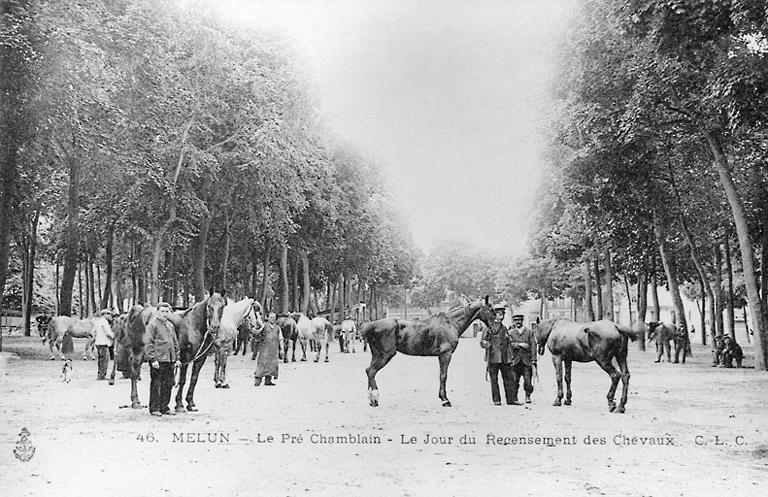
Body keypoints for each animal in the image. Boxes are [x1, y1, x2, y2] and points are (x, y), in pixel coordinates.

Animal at [364, 294, 496, 406]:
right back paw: (375, 399)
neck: (450, 323)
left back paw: (372, 400)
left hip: (376, 355)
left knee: (369, 371)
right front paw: (445, 399)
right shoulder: (445, 354)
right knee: (371, 371)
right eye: (490, 309)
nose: (494, 329)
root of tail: (371, 325)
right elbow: (443, 375)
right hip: (386, 355)